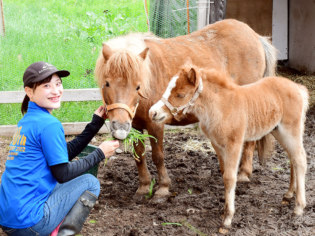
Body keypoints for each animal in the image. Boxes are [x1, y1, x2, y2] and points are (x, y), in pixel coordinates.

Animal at [95, 19, 278, 199]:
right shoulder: (135, 126)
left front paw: (163, 188)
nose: (119, 127)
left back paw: (244, 173)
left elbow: (158, 156)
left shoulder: (156, 123)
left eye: (137, 86)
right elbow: (139, 156)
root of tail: (255, 36)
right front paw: (144, 187)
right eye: (107, 83)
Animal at [149, 64, 310, 227]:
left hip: (291, 131)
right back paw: (289, 194)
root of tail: (298, 87)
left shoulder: (234, 144)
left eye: (180, 95)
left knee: (300, 159)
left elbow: (230, 177)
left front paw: (227, 218)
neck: (222, 107)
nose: (153, 112)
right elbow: (224, 173)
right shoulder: (217, 145)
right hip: (278, 131)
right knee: (292, 159)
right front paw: (224, 212)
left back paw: (299, 207)